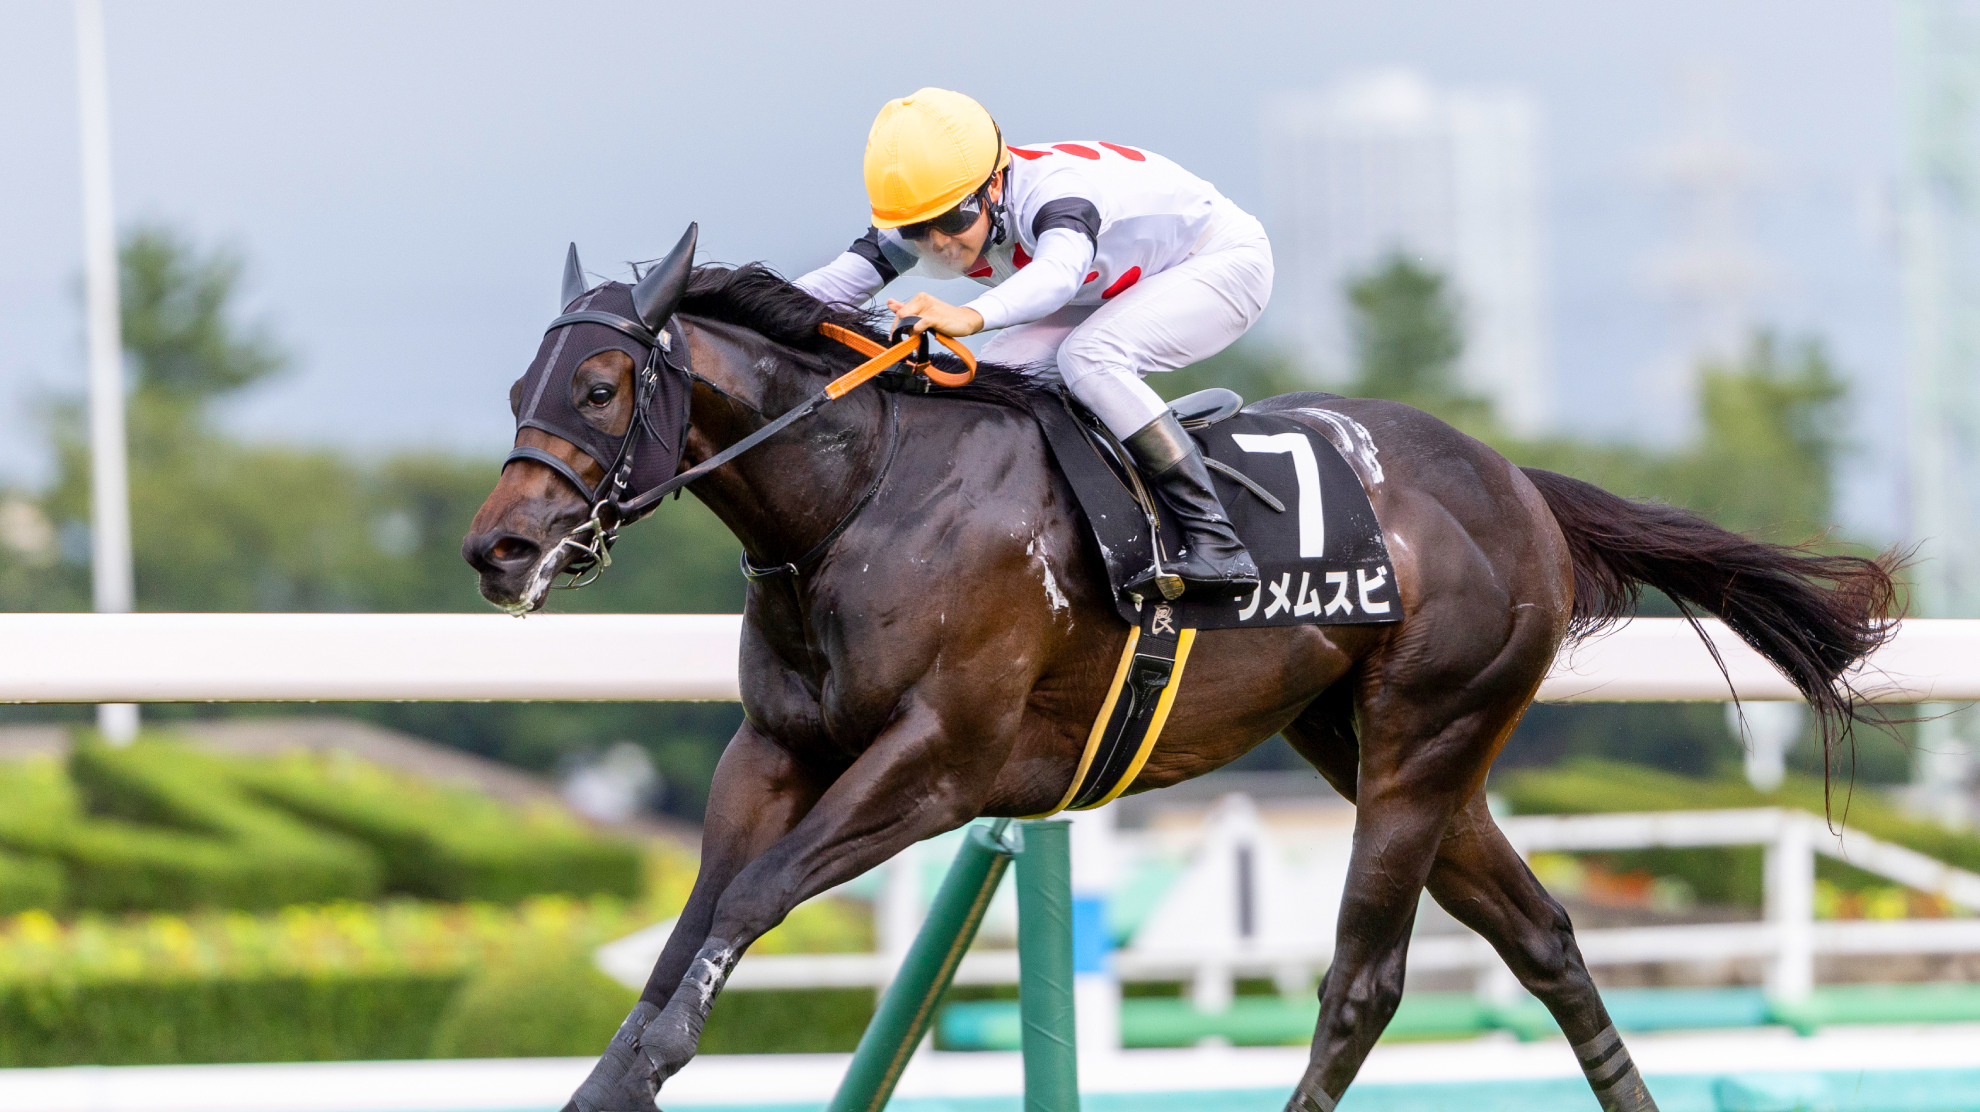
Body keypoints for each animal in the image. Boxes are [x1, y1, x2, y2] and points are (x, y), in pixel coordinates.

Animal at [462, 229, 1898, 1112]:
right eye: (521, 377)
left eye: (600, 386)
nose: (498, 548)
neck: (863, 498)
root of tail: (1518, 485)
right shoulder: (773, 751)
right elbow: (696, 921)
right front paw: (611, 1079)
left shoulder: (940, 762)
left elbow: (754, 897)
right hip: (1368, 741)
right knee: (1543, 935)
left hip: (1427, 734)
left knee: (1364, 982)